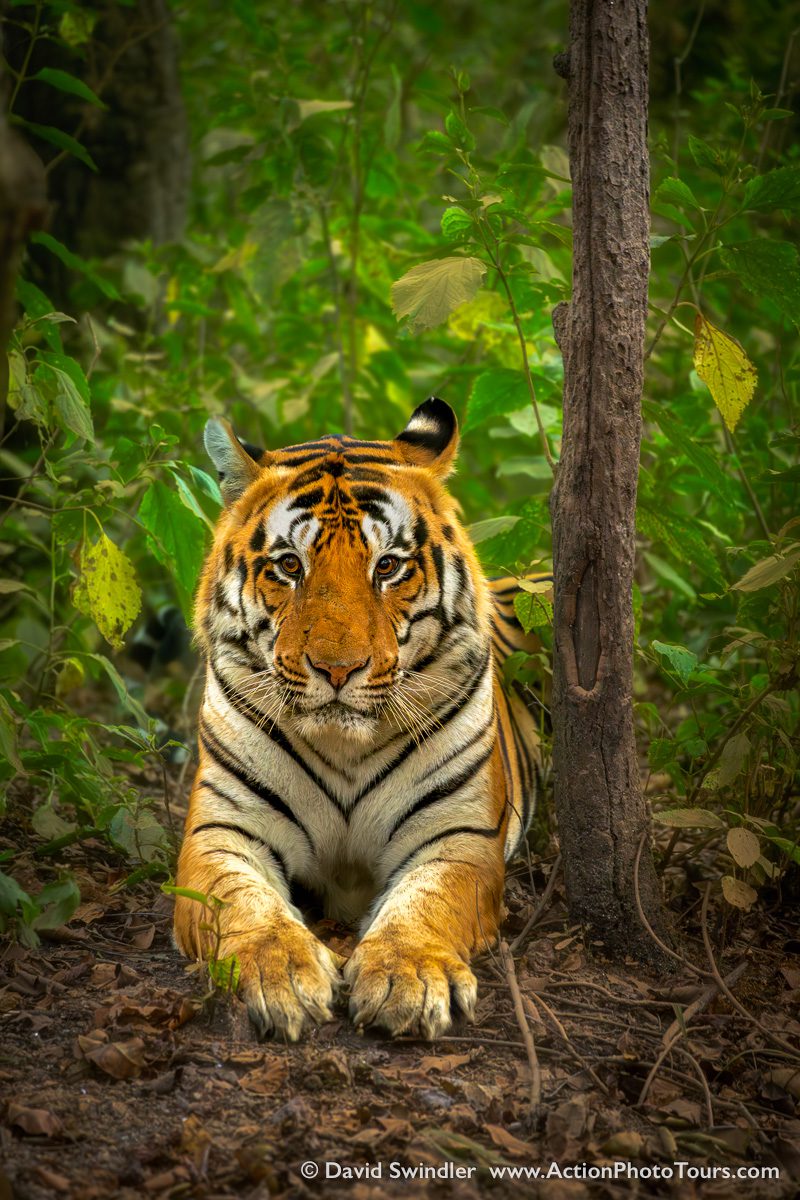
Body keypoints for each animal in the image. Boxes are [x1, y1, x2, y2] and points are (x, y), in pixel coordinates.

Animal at [173, 397, 550, 1041]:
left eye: (389, 566)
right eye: (289, 565)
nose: (338, 668)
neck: (343, 746)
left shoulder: (459, 836)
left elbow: (427, 903)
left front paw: (409, 977)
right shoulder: (221, 829)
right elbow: (241, 904)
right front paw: (280, 974)